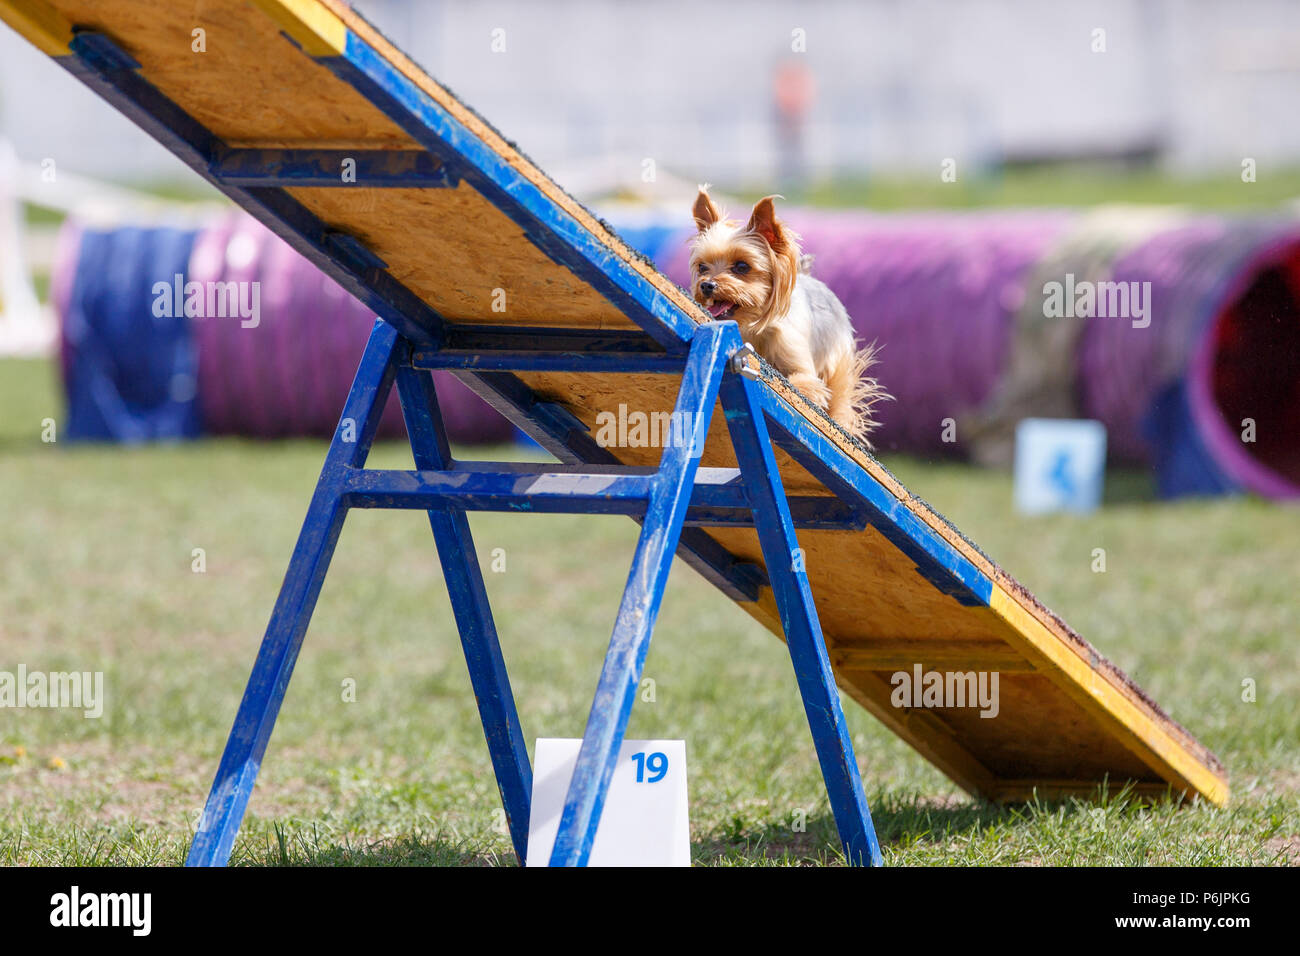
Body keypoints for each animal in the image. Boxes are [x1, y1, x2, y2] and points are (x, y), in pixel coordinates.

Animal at [688, 187, 886, 444]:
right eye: (702, 267)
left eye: (742, 266)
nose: (707, 285)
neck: (752, 325)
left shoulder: (798, 359)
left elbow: (803, 381)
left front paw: (810, 393)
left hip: (838, 361)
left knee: (840, 397)